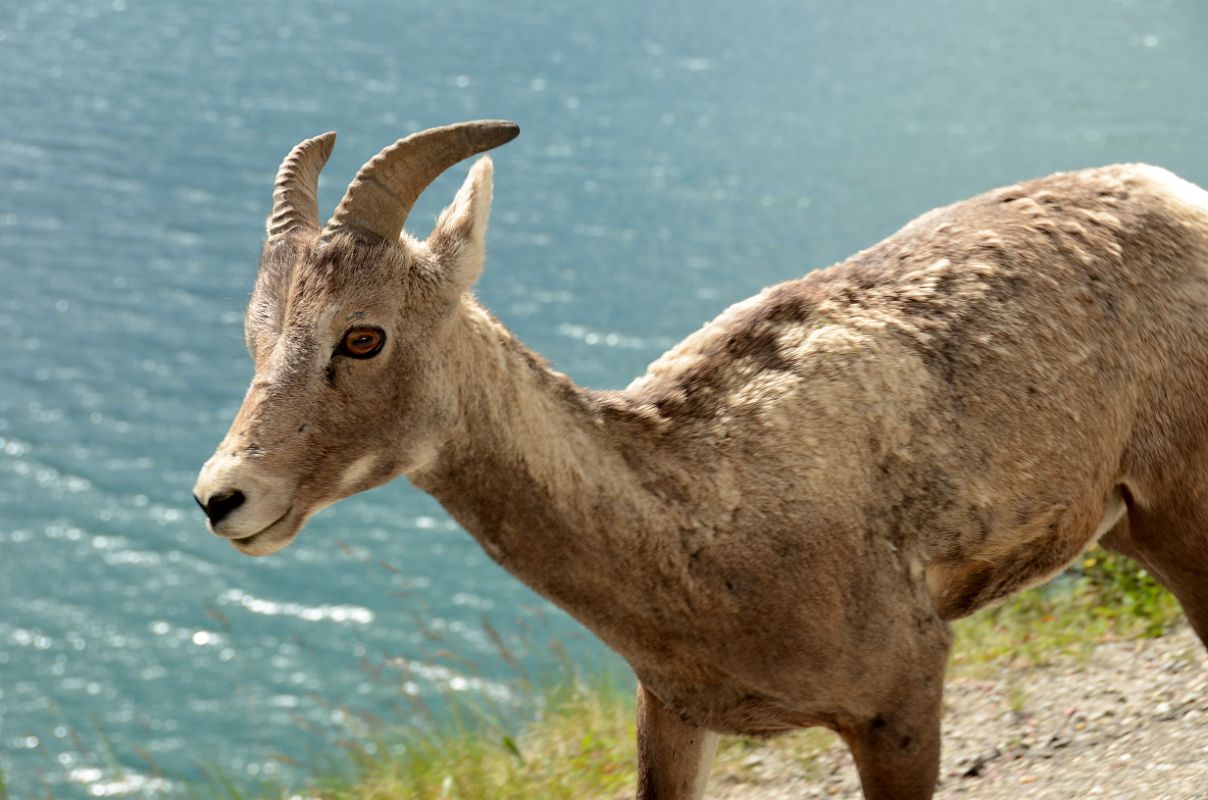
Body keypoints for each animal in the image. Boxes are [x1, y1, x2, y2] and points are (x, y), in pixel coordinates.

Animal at [193, 120, 1208, 800]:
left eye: (363, 337)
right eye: (254, 336)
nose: (222, 497)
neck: (702, 528)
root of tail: (1176, 194)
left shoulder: (901, 700)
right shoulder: (676, 714)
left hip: (1184, 521)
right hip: (1130, 529)